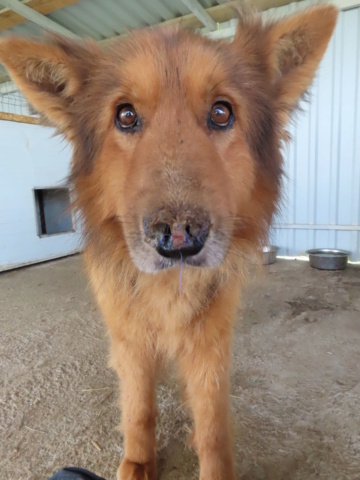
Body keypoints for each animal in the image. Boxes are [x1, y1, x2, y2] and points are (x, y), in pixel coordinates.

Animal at [0, 7, 338, 480]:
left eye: (221, 112)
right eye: (125, 116)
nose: (179, 237)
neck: (168, 290)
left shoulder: (211, 341)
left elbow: (212, 422)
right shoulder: (129, 338)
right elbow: (138, 405)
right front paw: (138, 461)